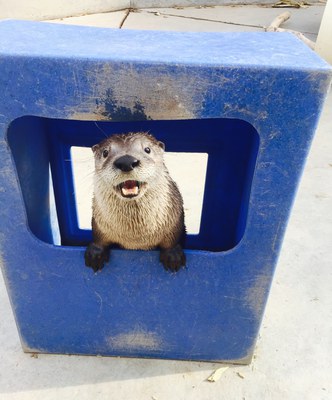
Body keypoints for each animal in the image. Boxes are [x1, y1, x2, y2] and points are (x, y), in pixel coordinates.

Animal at [84, 131, 185, 272]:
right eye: (105, 152)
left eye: (147, 149)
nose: (126, 161)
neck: (136, 239)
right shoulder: (99, 224)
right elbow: (99, 237)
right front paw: (95, 253)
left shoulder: (174, 222)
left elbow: (172, 238)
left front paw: (173, 255)